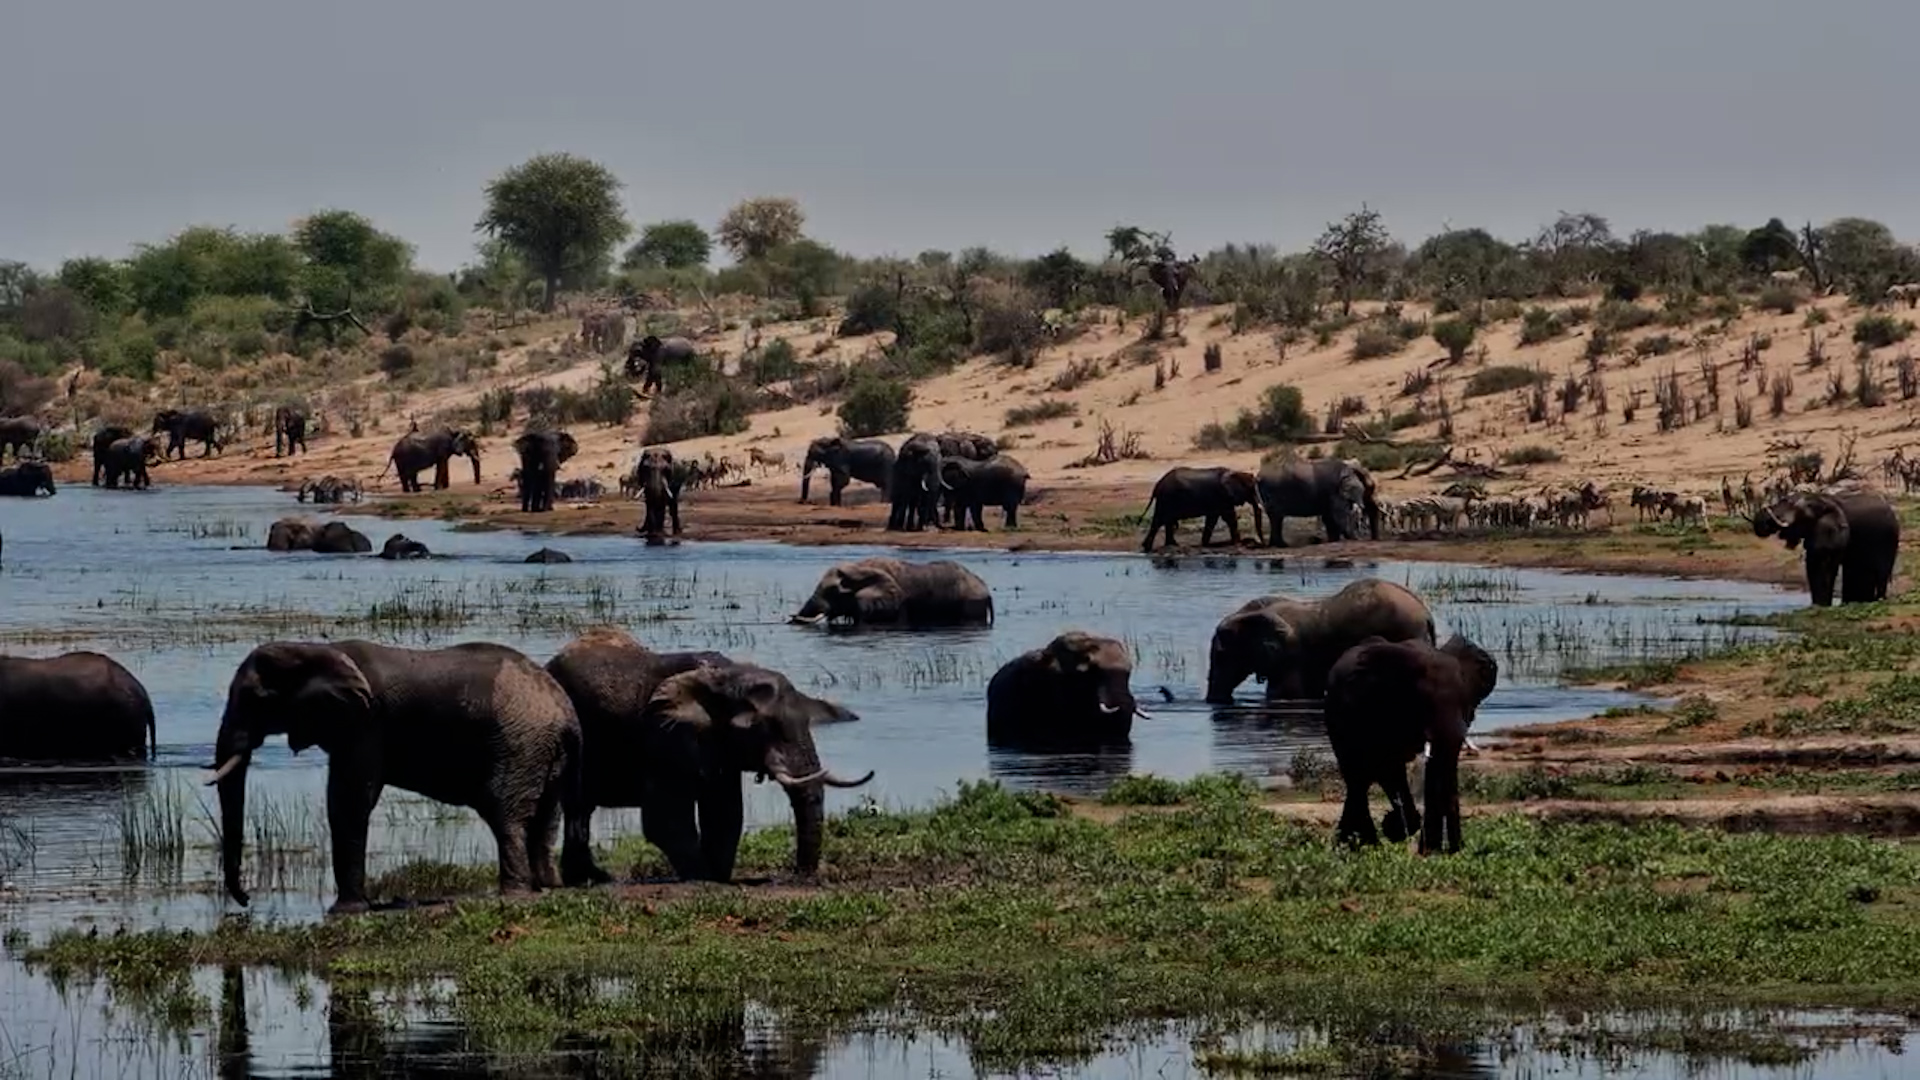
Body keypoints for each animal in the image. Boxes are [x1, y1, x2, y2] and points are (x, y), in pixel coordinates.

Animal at [207, 640, 598, 913]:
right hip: (543, 750)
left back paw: (514, 895)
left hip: (518, 744)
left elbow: (349, 799)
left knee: (507, 816)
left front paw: (344, 911)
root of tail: (567, 712)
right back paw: (547, 886)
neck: (314, 649)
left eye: (256, 698)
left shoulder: (365, 723)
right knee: (544, 817)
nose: (246, 901)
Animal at [547, 629, 871, 882]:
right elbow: (665, 820)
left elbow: (725, 813)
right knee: (579, 808)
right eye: (759, 727)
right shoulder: (661, 738)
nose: (802, 876)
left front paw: (718, 876)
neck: (727, 677)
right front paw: (704, 878)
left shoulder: (717, 744)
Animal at [1753, 489, 1900, 606]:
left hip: (1889, 540)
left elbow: (1820, 566)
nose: (1765, 511)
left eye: (1787, 501)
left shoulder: (1830, 532)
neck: (1819, 498)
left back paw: (1877, 600)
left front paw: (1820, 606)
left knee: (1881, 572)